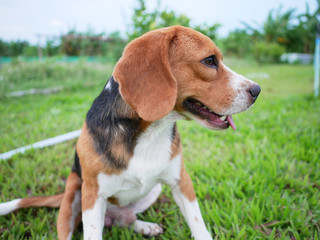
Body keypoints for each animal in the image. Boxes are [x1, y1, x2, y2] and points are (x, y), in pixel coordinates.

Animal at [0, 25, 260, 239]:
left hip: (153, 190)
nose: (257, 90)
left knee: (125, 220)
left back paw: (144, 227)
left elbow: (198, 223)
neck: (152, 131)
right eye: (209, 60)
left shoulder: (181, 180)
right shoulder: (93, 196)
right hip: (73, 192)